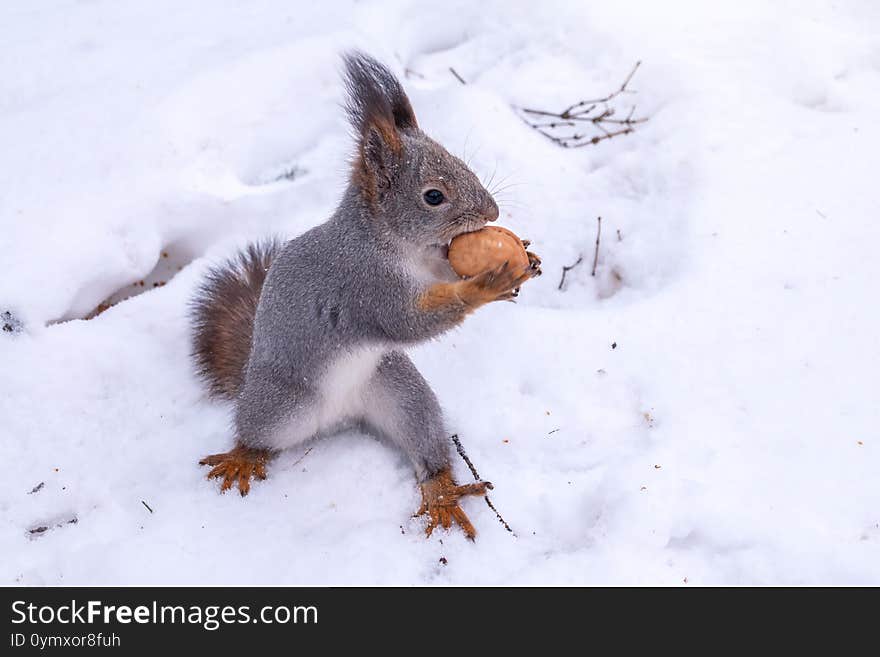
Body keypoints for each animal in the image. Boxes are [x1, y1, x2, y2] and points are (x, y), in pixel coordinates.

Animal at [189, 52, 540, 540]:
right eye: (433, 196)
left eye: (460, 161)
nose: (493, 212)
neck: (391, 245)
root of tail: (340, 415)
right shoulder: (362, 286)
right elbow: (407, 322)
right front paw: (486, 284)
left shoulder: (431, 267)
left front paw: (525, 254)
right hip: (279, 404)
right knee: (255, 433)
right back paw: (243, 457)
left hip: (401, 392)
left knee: (424, 439)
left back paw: (442, 492)